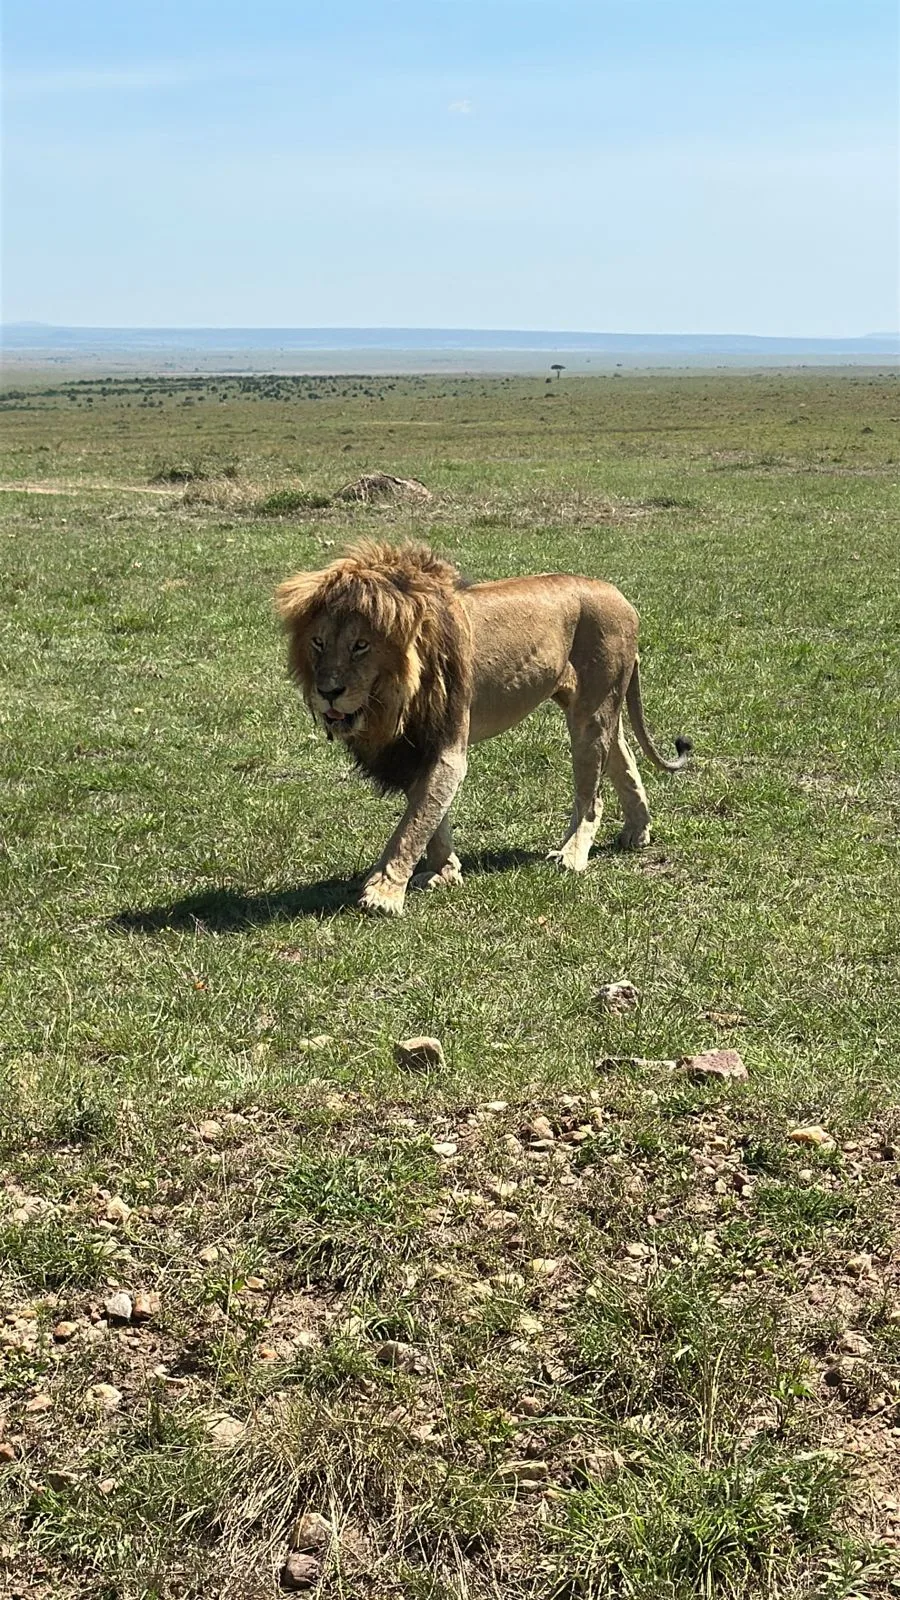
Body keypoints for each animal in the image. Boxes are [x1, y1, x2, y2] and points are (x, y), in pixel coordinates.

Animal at [275, 540, 691, 916]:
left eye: (360, 645)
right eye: (318, 642)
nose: (328, 692)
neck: (392, 699)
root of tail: (618, 594)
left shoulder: (447, 746)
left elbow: (411, 826)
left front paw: (382, 894)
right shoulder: (418, 747)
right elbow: (431, 818)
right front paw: (445, 873)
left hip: (592, 714)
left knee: (592, 797)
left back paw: (572, 854)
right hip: (597, 707)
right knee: (624, 757)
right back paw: (637, 831)